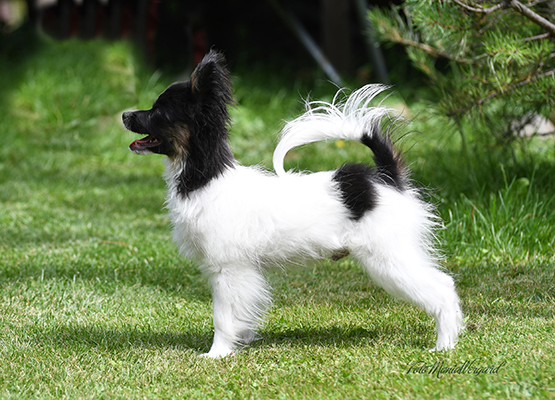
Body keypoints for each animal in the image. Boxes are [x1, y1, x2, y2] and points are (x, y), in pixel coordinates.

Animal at [122, 50, 463, 358]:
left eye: (158, 113)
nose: (125, 115)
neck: (205, 177)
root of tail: (384, 178)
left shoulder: (228, 270)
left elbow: (222, 318)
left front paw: (217, 353)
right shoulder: (242, 273)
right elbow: (241, 314)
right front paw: (240, 341)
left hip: (389, 258)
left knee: (443, 287)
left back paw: (444, 345)